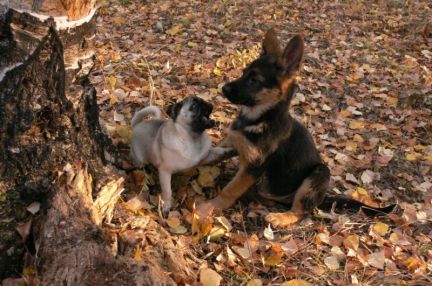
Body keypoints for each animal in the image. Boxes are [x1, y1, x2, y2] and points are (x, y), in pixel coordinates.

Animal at [202, 29, 394, 228]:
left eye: (254, 80)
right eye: (243, 73)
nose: (223, 88)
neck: (259, 118)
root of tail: (323, 198)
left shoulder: (253, 168)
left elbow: (230, 190)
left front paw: (209, 208)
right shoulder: (229, 143)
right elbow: (207, 154)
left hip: (320, 174)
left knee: (300, 212)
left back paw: (280, 217)